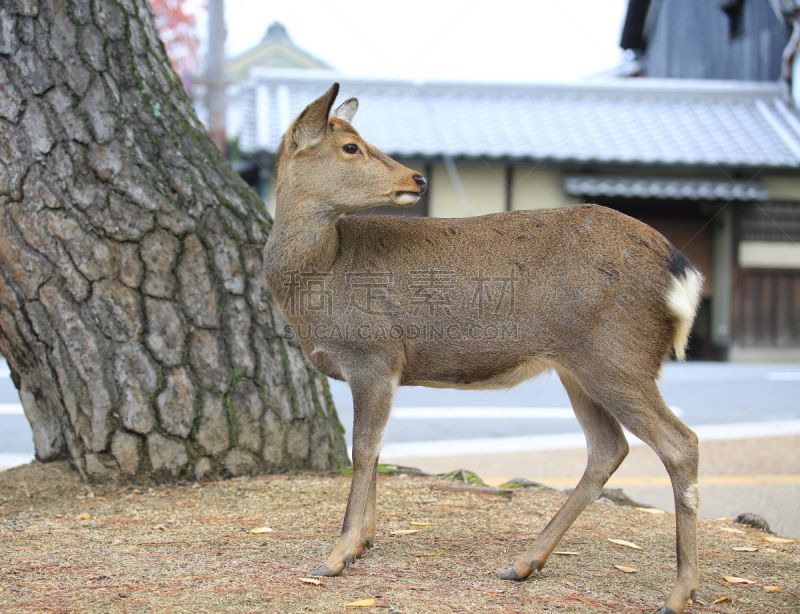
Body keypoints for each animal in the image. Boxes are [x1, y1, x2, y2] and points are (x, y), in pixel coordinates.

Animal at [262, 83, 700, 614]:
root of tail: (682, 273)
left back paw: (679, 592)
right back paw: (525, 562)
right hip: (579, 366)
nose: (417, 177)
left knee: (680, 443)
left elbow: (363, 449)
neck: (319, 276)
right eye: (350, 146)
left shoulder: (374, 355)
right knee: (608, 448)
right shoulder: (380, 370)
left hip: (618, 355)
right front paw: (364, 542)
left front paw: (337, 555)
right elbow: (378, 447)